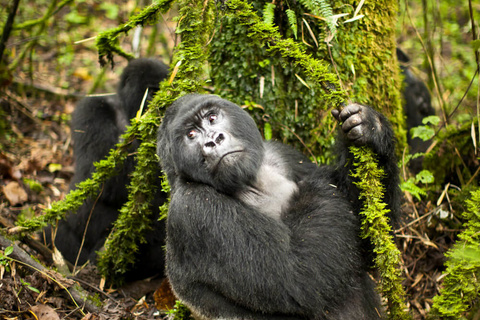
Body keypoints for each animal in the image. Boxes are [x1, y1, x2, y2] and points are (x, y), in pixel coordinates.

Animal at [158, 94, 402, 318]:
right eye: (191, 135)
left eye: (212, 117)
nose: (214, 140)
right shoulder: (194, 206)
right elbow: (301, 276)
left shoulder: (281, 153)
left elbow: (368, 250)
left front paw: (372, 128)